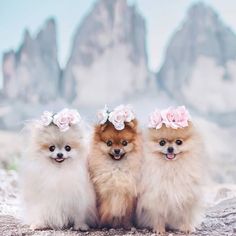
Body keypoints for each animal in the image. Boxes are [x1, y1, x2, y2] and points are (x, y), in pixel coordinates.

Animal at [136, 106, 205, 234]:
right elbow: (158, 216)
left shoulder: (186, 196)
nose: (170, 149)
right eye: (162, 142)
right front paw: (159, 229)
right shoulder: (157, 197)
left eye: (179, 142)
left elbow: (185, 215)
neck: (171, 167)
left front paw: (187, 228)